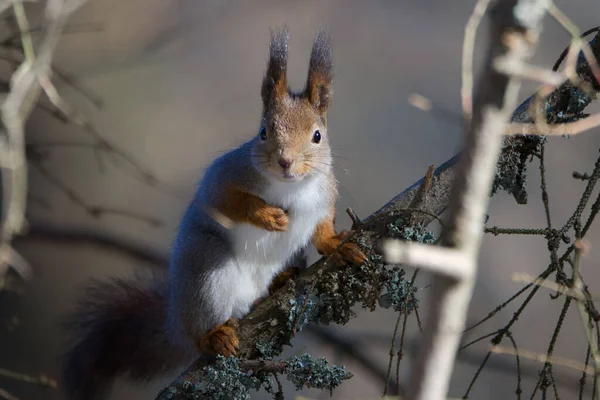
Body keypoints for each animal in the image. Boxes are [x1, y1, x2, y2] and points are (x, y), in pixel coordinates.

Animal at [61, 26, 366, 398]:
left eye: (317, 136)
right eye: (263, 131)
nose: (285, 161)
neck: (290, 187)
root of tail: (175, 322)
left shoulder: (324, 197)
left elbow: (322, 230)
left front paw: (339, 246)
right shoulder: (223, 175)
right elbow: (227, 202)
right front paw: (267, 216)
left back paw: (281, 279)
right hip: (207, 269)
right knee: (200, 330)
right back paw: (213, 335)